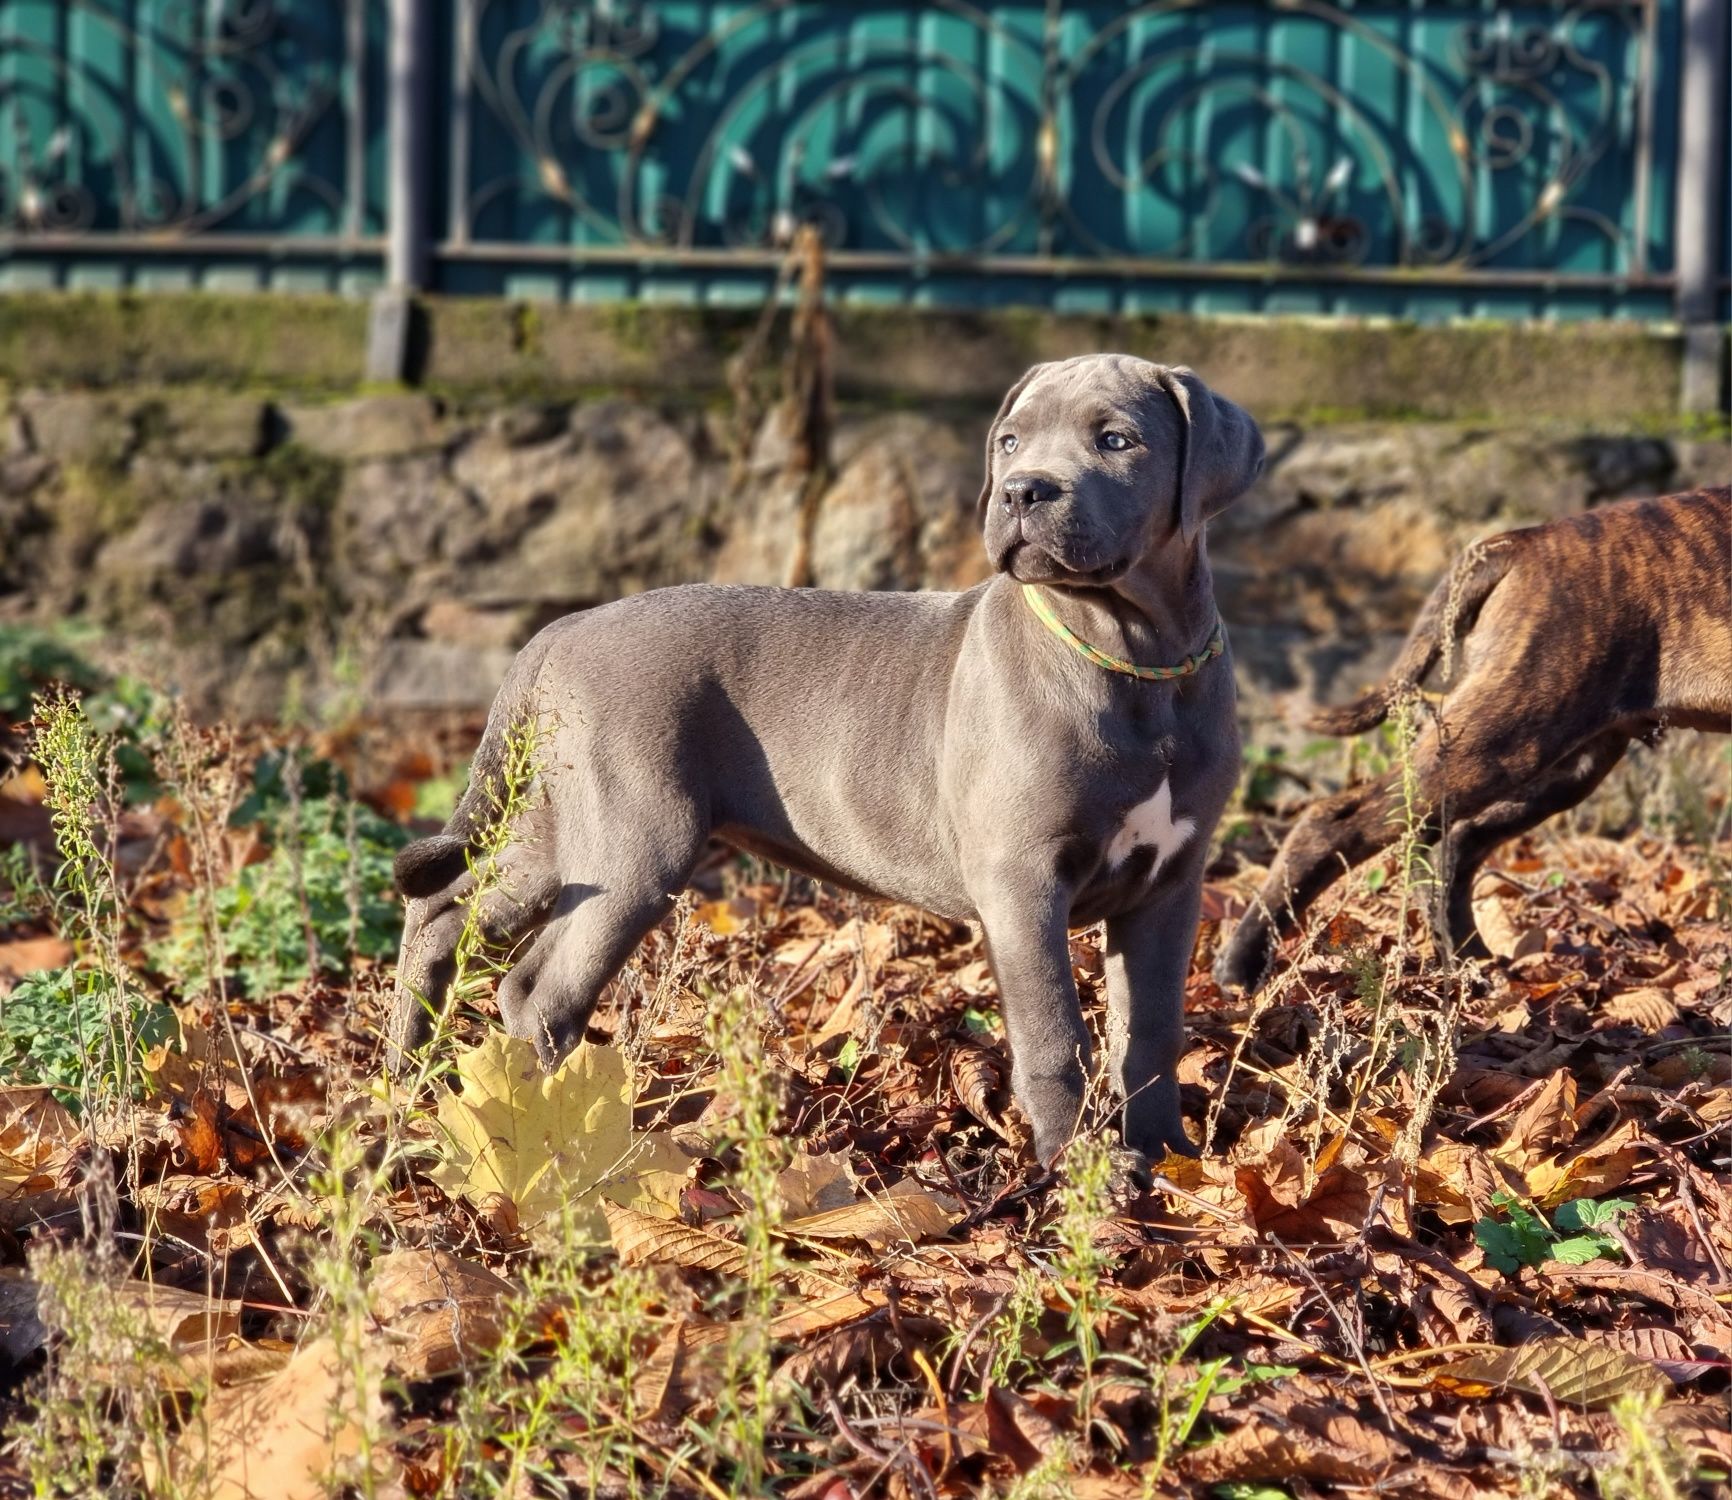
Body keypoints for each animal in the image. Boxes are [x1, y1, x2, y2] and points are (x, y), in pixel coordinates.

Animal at [389, 353, 1260, 1170]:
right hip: (633, 842)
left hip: (563, 827)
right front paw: (1085, 1172)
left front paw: (1169, 1159)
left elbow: (1150, 1032)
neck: (1137, 660)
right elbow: (1055, 1033)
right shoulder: (1023, 882)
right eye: (1010, 442)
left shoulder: (1170, 884)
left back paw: (411, 1076)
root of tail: (561, 628)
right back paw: (564, 1135)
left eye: (1117, 440)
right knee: (539, 989)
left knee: (448, 916)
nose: (1020, 491)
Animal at [1219, 481, 1732, 990]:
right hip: (1508, 736)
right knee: (1335, 821)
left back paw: (1469, 959)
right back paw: (1242, 964)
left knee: (1458, 842)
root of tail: (1526, 541)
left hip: (1563, 763)